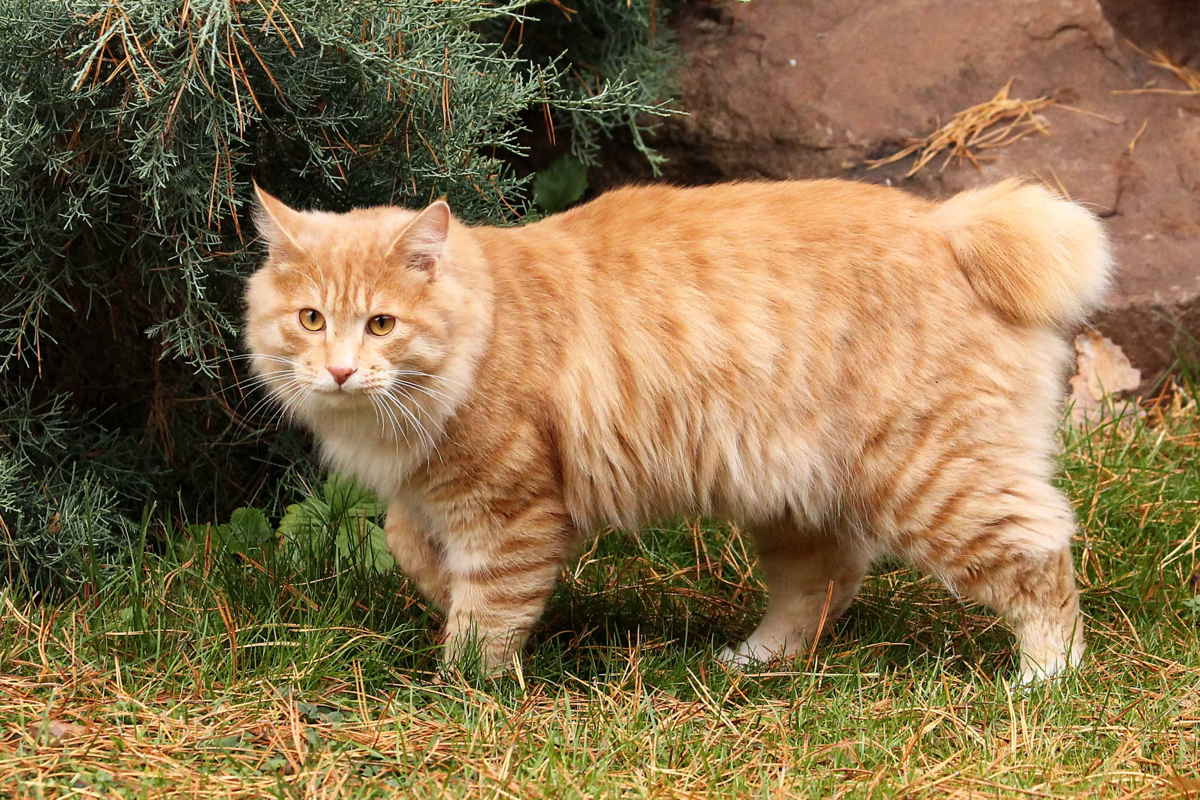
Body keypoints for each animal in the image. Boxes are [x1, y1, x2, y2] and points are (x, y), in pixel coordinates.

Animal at [246, 176, 1113, 681]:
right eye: (312, 319)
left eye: (381, 324)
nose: (340, 372)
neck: (486, 324)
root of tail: (947, 225)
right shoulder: (428, 494)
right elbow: (406, 544)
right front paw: (436, 594)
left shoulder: (510, 507)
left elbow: (489, 611)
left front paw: (462, 687)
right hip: (792, 493)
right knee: (824, 584)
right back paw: (752, 662)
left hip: (937, 480)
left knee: (1040, 559)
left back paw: (1047, 682)